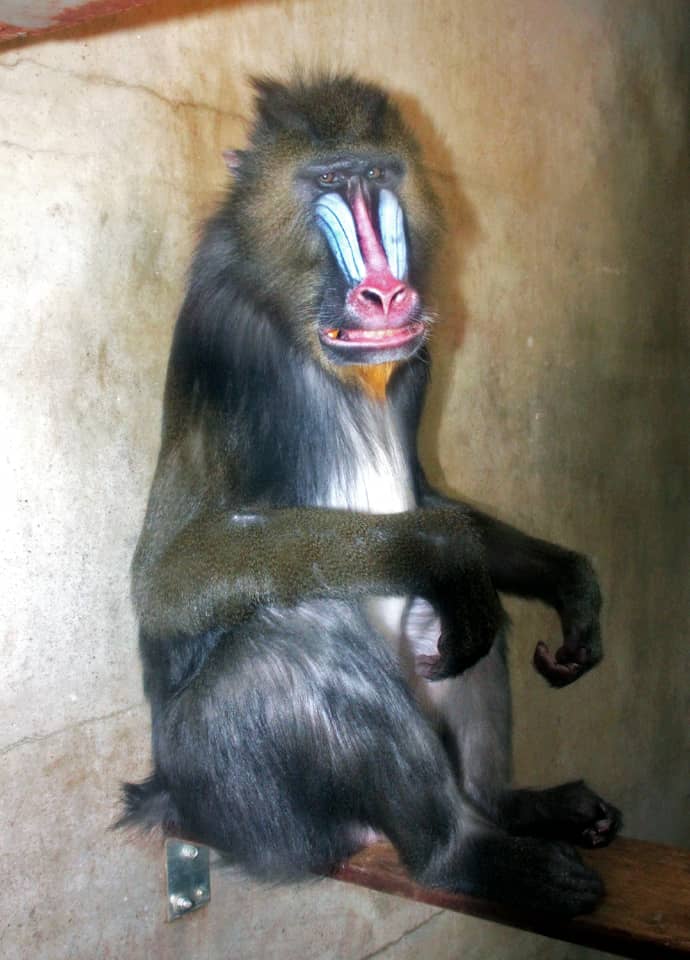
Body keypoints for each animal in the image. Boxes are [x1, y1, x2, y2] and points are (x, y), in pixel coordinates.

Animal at [119, 74, 621, 916]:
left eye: (377, 177)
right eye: (327, 183)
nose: (386, 293)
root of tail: (169, 797)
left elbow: (432, 496)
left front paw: (569, 583)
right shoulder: (222, 339)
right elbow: (168, 576)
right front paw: (439, 548)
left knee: (463, 624)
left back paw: (511, 806)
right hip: (238, 797)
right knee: (295, 643)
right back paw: (467, 854)